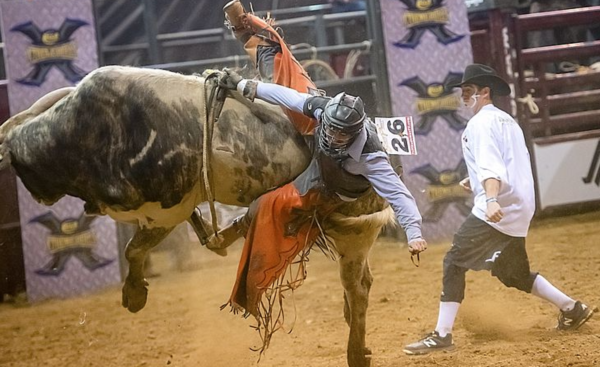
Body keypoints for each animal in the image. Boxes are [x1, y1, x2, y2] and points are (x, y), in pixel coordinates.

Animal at [0, 66, 394, 367]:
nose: (38, 195)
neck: (85, 134)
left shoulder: (164, 210)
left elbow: (133, 249)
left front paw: (134, 294)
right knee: (363, 281)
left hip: (354, 234)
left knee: (357, 287)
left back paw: (356, 352)